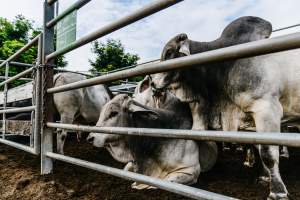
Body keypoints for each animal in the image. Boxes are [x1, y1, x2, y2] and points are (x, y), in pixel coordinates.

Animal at [150, 16, 298, 199]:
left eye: (169, 52)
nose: (152, 83)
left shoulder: (266, 109)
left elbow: (268, 153)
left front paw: (277, 192)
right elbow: (257, 147)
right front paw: (262, 177)